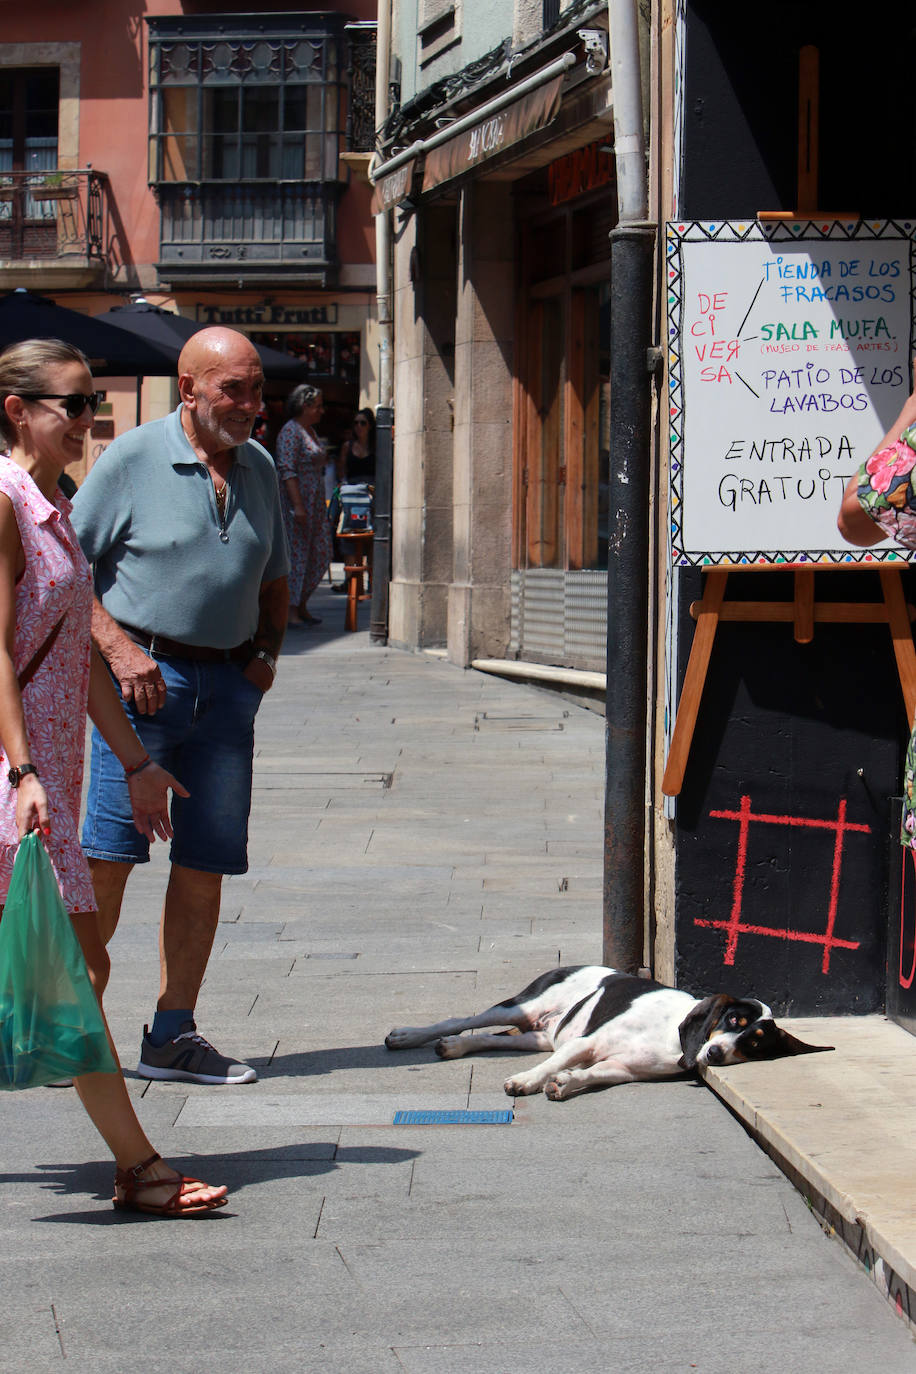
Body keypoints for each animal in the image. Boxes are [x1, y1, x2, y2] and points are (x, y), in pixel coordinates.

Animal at [381, 967, 829, 1104]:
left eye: (753, 1043)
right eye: (734, 1021)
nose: (716, 1053)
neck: (670, 1036)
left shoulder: (624, 1069)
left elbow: (589, 1074)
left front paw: (564, 1083)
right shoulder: (587, 1044)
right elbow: (552, 1067)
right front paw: (527, 1082)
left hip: (540, 1035)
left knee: (493, 1038)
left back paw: (457, 1047)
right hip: (522, 1005)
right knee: (463, 1019)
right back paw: (409, 1037)